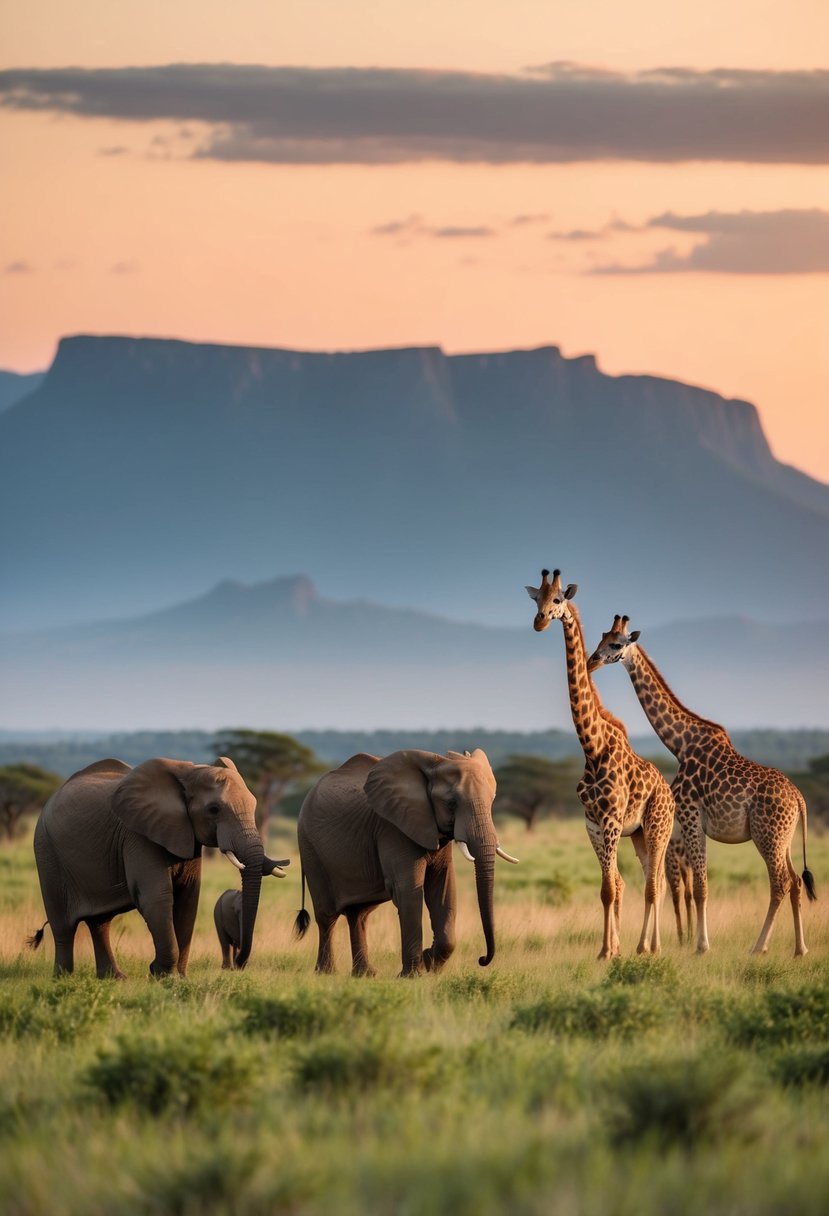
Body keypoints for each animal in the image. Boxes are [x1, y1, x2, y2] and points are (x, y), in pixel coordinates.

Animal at [31, 755, 288, 978]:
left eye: (254, 804)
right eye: (214, 810)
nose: (240, 964)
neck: (190, 771)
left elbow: (188, 898)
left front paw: (178, 978)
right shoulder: (138, 835)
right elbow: (157, 897)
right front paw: (161, 975)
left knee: (100, 923)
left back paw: (114, 979)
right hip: (46, 851)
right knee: (63, 926)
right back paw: (63, 978)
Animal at [294, 748, 518, 977]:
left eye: (492, 800)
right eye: (451, 803)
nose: (482, 959)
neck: (435, 764)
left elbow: (444, 888)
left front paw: (430, 962)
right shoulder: (393, 828)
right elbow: (408, 890)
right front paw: (413, 975)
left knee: (359, 914)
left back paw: (365, 974)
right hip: (310, 847)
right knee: (326, 914)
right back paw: (326, 973)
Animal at [526, 570, 674, 959]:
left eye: (558, 600)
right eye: (535, 599)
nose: (540, 622)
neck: (591, 747)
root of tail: (669, 792)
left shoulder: (610, 821)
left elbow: (611, 888)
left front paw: (610, 951)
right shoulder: (592, 823)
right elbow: (612, 887)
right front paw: (608, 949)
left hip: (658, 828)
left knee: (656, 884)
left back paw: (650, 947)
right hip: (638, 835)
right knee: (651, 879)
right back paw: (646, 945)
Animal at [587, 614, 817, 956]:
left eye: (616, 644)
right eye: (601, 638)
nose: (591, 661)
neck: (680, 744)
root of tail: (799, 797)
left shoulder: (691, 816)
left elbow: (699, 887)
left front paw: (701, 946)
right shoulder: (692, 823)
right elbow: (697, 886)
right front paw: (697, 943)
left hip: (768, 836)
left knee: (780, 883)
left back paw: (759, 947)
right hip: (784, 838)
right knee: (796, 881)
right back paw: (799, 949)